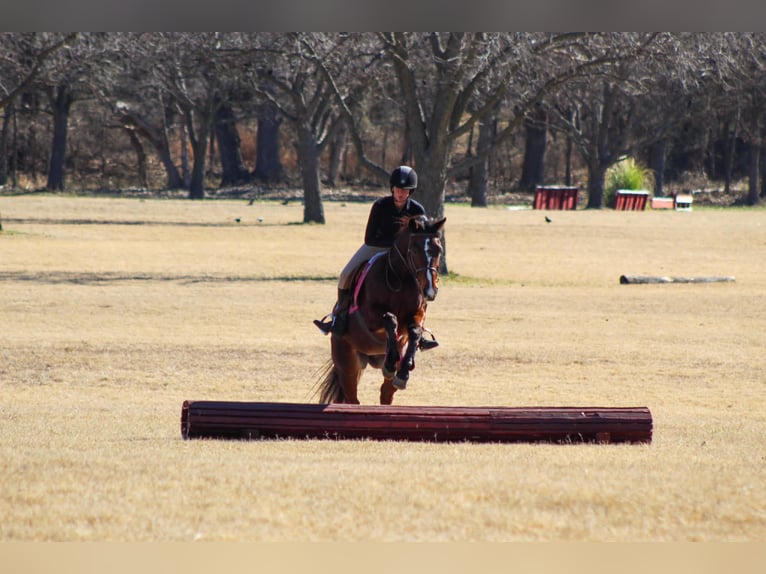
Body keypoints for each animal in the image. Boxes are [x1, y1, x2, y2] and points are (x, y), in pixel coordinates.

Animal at [316, 215, 446, 405]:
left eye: (439, 250)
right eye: (414, 249)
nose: (430, 291)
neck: (401, 279)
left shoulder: (416, 314)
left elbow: (414, 331)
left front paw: (402, 372)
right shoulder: (369, 316)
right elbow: (390, 319)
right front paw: (390, 363)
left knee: (386, 394)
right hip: (347, 362)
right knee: (352, 396)